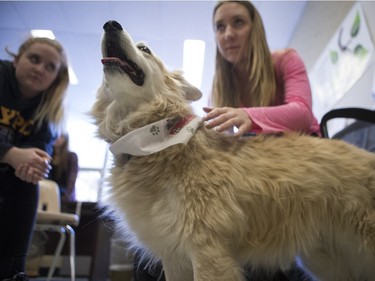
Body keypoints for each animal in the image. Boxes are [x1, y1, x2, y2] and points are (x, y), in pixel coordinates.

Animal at [91, 20, 375, 280]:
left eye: (145, 49)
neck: (150, 141)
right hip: (324, 259)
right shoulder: (173, 256)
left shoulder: (208, 249)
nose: (110, 24)